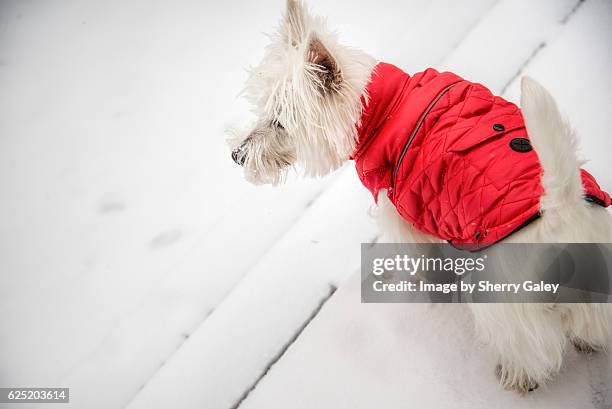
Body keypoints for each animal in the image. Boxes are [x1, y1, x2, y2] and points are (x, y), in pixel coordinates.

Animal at [231, 0, 612, 396]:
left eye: (279, 123)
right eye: (263, 112)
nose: (236, 155)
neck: (383, 108)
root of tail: (563, 212)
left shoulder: (400, 214)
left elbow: (416, 258)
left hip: (502, 294)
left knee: (530, 348)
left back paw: (516, 375)